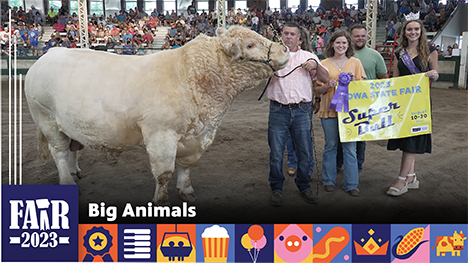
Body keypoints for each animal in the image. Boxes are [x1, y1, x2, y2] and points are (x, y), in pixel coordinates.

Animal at [26, 25, 288, 205]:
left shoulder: (195, 137)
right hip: (46, 118)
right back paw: (67, 180)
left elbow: (185, 166)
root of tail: (48, 54)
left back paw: (74, 171)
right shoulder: (161, 134)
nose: (284, 49)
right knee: (59, 152)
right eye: (251, 45)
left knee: (73, 148)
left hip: (70, 123)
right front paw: (161, 201)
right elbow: (164, 173)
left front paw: (186, 190)